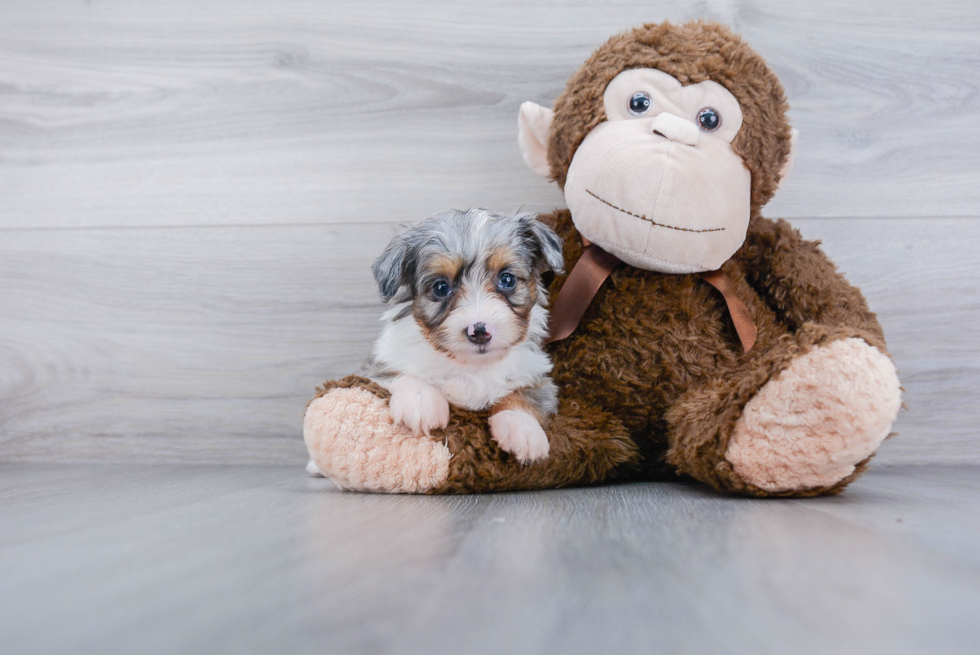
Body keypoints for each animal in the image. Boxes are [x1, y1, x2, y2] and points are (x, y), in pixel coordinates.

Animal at [364, 209, 564, 462]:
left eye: (507, 279)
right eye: (441, 287)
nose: (479, 331)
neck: (471, 365)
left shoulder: (534, 371)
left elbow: (525, 395)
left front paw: (522, 427)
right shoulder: (382, 360)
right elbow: (401, 372)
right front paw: (420, 400)